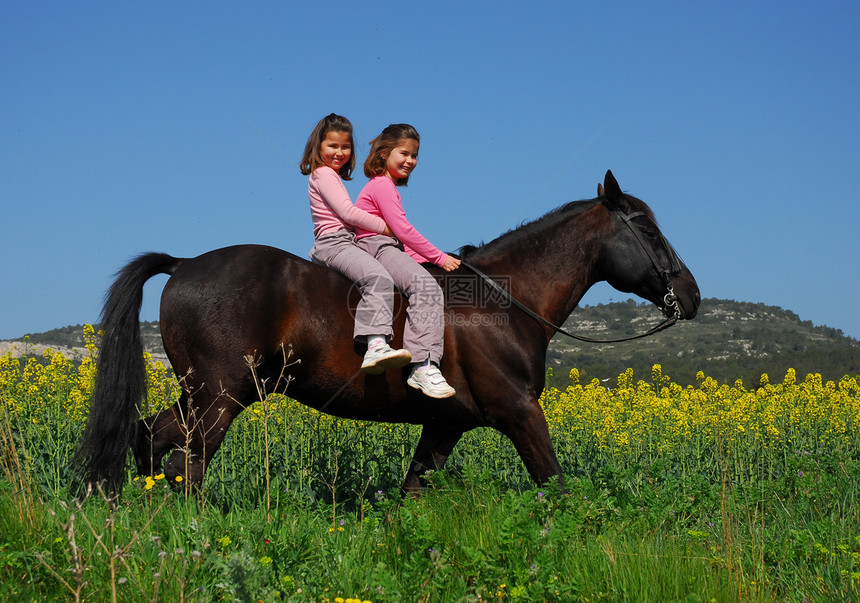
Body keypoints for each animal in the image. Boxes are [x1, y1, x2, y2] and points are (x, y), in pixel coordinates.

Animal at [75, 171, 700, 496]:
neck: (503, 302)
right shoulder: (520, 412)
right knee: (185, 461)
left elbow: (412, 495)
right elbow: (556, 485)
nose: (690, 295)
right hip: (220, 396)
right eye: (646, 228)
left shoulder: (445, 426)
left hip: (204, 394)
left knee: (149, 441)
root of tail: (183, 264)